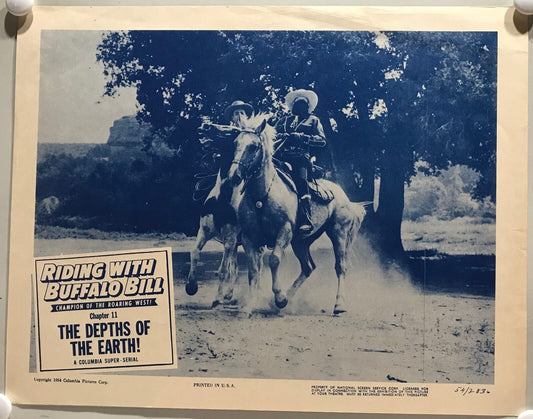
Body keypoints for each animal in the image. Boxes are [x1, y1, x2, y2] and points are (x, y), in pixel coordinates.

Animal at [227, 118, 364, 316]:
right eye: (236, 143)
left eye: (253, 146)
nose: (234, 176)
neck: (262, 195)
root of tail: (342, 195)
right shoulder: (248, 238)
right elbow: (253, 271)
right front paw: (249, 306)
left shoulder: (283, 232)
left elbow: (274, 260)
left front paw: (278, 295)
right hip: (301, 241)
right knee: (308, 267)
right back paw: (286, 300)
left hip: (339, 233)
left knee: (341, 266)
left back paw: (339, 305)